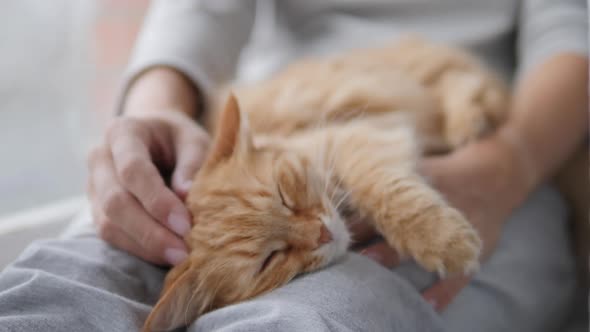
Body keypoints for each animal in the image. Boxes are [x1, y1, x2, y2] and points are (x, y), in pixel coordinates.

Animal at [142, 36, 508, 332]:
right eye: (270, 260)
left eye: (284, 195)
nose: (323, 234)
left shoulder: (357, 136)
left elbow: (385, 193)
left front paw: (445, 243)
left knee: (464, 79)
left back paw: (468, 121)